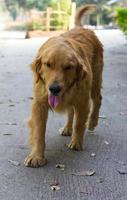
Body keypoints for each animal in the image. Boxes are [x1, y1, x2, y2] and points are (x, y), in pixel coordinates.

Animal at [23, 5, 103, 167]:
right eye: (48, 64)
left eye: (68, 67)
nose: (54, 89)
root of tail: (83, 28)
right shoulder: (39, 103)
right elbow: (39, 132)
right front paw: (36, 156)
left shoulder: (82, 101)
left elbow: (79, 123)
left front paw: (77, 143)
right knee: (70, 111)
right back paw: (67, 128)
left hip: (95, 81)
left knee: (98, 99)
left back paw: (92, 122)